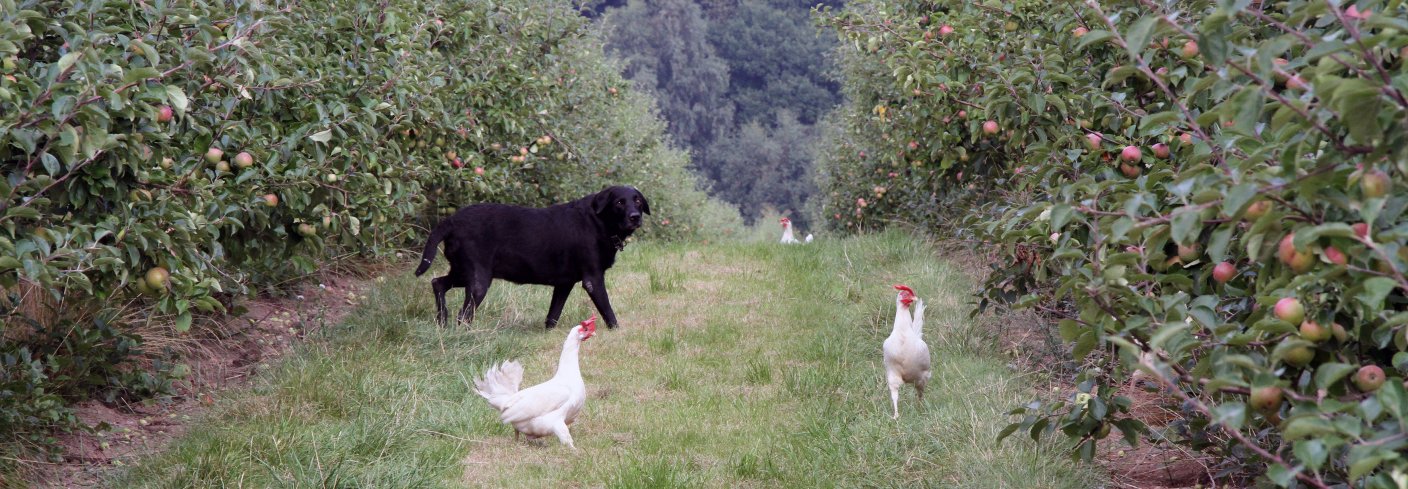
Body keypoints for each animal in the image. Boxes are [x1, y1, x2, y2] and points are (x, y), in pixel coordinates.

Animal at [411, 186, 644, 331]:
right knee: (463, 315)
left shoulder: (564, 284)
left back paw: (442, 321)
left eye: (638, 201)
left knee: (437, 282)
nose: (636, 217)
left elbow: (553, 314)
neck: (598, 221)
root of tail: (452, 220)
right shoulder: (593, 279)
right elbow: (608, 311)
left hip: (463, 271)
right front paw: (617, 331)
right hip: (478, 280)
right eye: (620, 202)